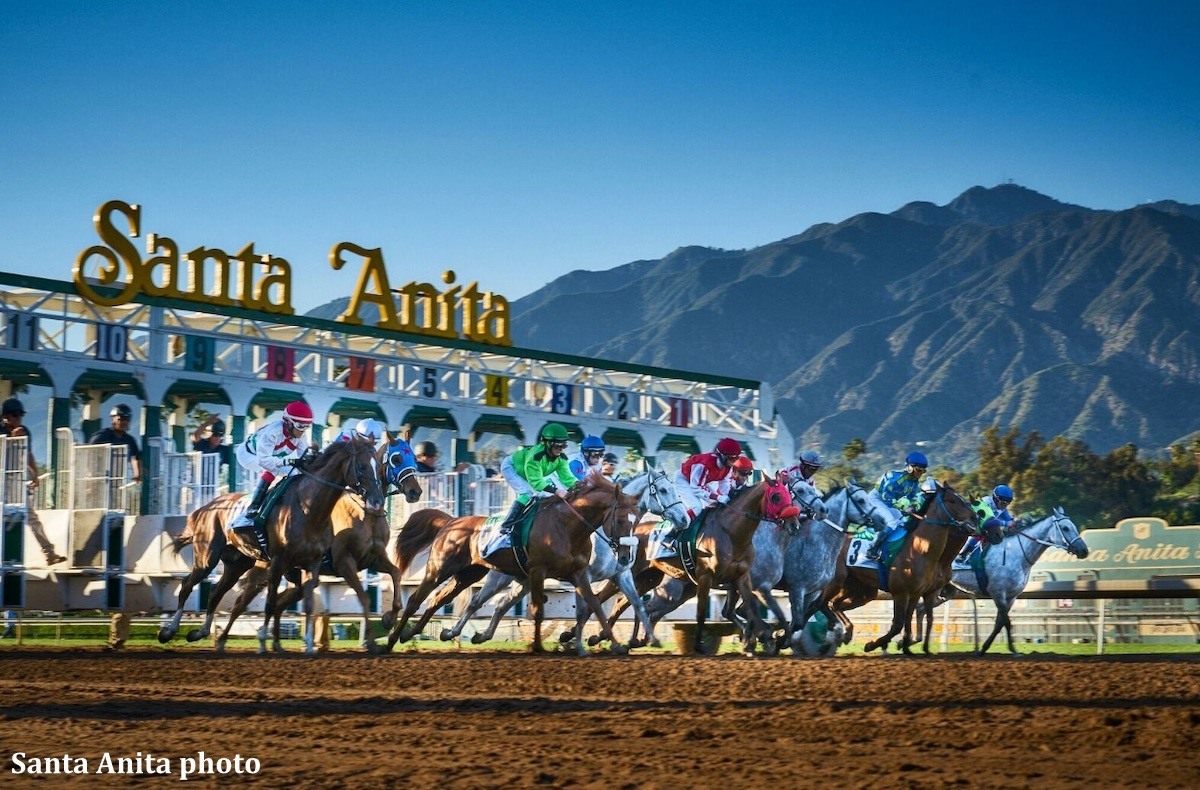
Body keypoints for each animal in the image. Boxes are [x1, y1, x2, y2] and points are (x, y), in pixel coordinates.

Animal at [388, 473, 643, 653]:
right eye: (621, 520)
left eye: (636, 520)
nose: (625, 556)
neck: (568, 526)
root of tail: (451, 521)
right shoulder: (538, 570)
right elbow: (538, 610)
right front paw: (538, 647)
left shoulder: (578, 573)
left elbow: (595, 605)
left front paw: (616, 645)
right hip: (440, 568)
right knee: (416, 599)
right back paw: (391, 640)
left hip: (468, 574)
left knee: (438, 599)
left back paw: (414, 633)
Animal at [436, 468, 691, 648]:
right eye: (664, 490)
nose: (684, 518)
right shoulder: (585, 574)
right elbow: (587, 606)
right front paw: (572, 637)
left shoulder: (621, 573)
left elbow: (635, 602)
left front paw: (650, 639)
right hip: (501, 576)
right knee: (478, 601)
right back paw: (453, 632)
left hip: (524, 579)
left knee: (500, 604)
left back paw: (479, 635)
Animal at [597, 477, 801, 653]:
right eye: (776, 496)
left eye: (789, 496)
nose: (794, 525)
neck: (731, 533)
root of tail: (633, 529)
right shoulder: (706, 577)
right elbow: (702, 612)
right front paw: (699, 646)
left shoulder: (742, 577)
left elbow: (755, 609)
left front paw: (767, 640)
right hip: (632, 575)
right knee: (608, 598)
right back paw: (604, 638)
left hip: (649, 578)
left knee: (628, 602)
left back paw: (625, 640)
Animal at [825, 482, 984, 653]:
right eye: (953, 500)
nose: (974, 517)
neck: (920, 549)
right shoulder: (900, 593)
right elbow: (898, 624)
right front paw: (873, 644)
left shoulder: (917, 593)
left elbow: (911, 620)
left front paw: (908, 647)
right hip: (839, 583)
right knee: (829, 603)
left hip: (859, 589)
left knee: (834, 604)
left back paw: (846, 632)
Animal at [916, 504, 1089, 653]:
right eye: (1065, 528)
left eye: (1073, 526)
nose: (1084, 550)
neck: (1017, 554)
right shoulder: (998, 593)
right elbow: (1006, 622)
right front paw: (1012, 650)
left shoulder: (1011, 597)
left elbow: (1000, 622)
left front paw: (985, 648)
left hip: (945, 592)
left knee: (921, 609)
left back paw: (915, 642)